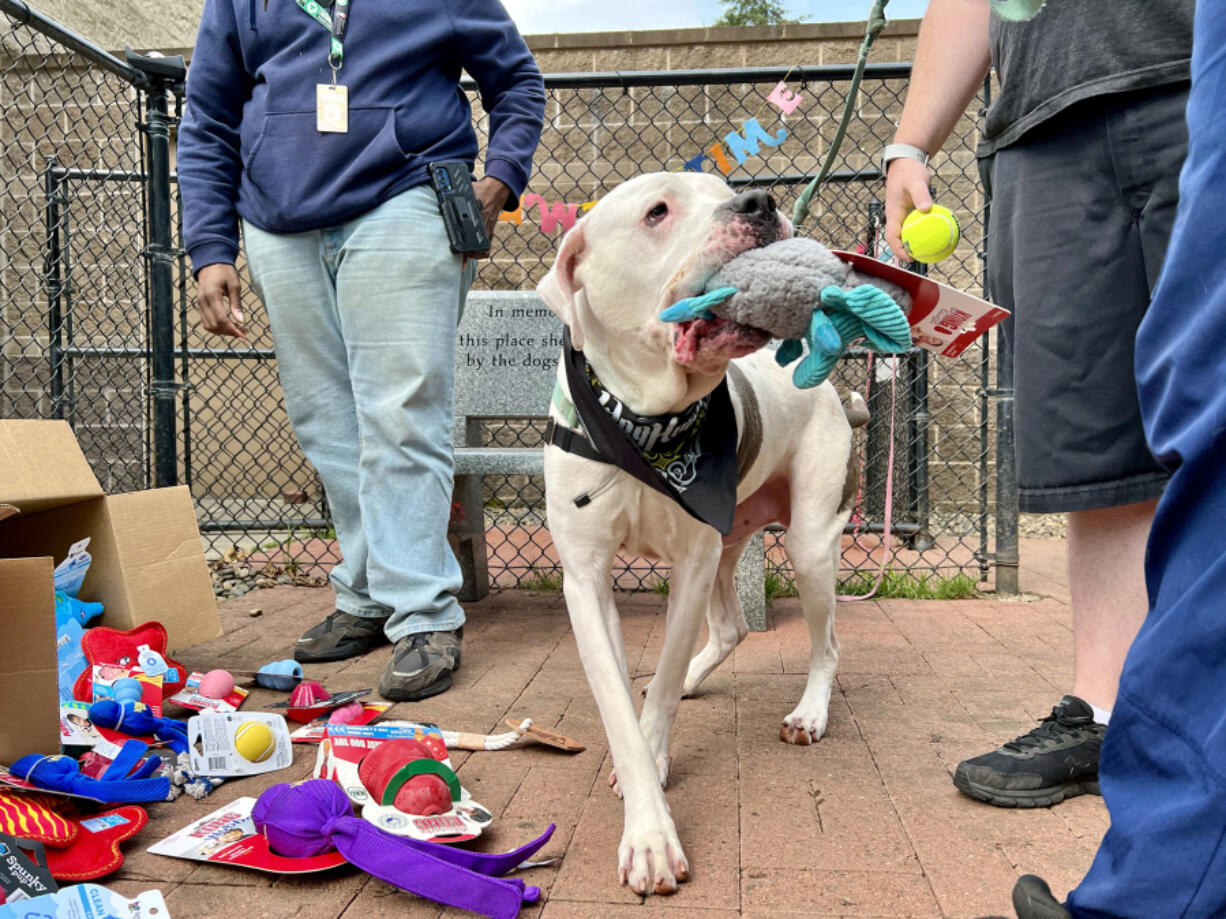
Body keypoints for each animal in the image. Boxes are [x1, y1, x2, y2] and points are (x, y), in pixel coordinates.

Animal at [536, 172, 863, 901]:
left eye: (725, 188)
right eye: (657, 212)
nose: (760, 202)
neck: (645, 425)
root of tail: (839, 392)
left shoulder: (688, 564)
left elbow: (653, 698)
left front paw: (651, 817)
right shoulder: (585, 580)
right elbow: (620, 704)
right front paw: (648, 821)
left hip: (804, 546)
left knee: (827, 643)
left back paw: (809, 714)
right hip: (727, 543)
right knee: (733, 628)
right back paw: (694, 675)